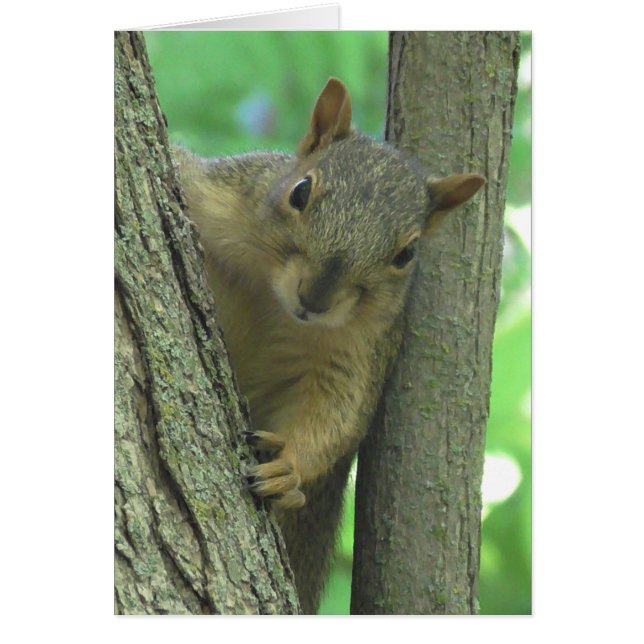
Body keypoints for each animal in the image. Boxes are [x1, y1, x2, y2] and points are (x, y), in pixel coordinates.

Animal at [173, 78, 485, 614]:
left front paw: (288, 472)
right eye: (300, 191)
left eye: (407, 253)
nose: (315, 297)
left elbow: (335, 417)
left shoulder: (361, 351)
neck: (273, 299)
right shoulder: (216, 193)